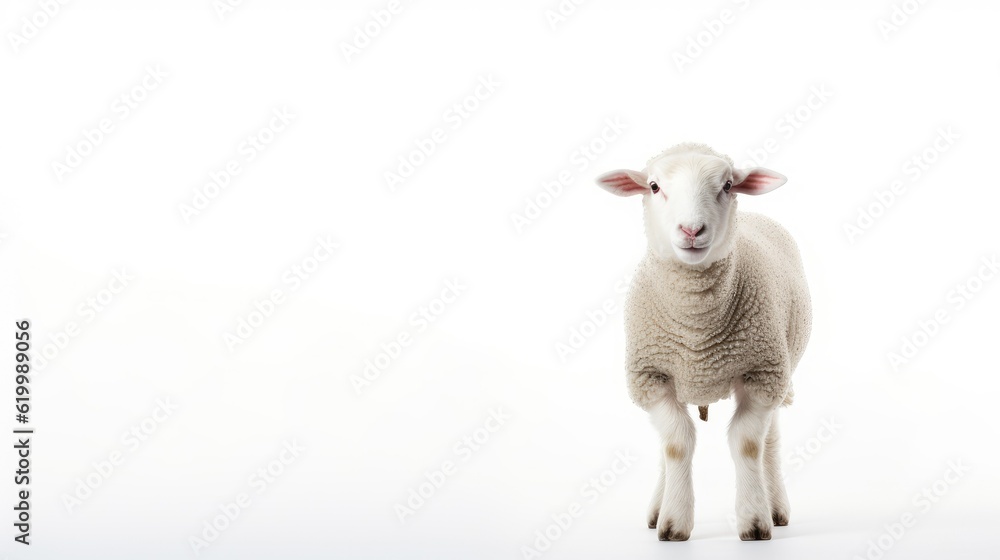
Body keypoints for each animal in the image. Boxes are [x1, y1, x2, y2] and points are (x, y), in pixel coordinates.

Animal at [594, 143, 811, 542]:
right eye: (653, 186)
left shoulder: (762, 373)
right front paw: (673, 521)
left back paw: (776, 507)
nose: (692, 229)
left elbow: (748, 443)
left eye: (727, 185)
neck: (698, 331)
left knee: (770, 441)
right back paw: (657, 507)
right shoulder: (651, 377)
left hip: (782, 366)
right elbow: (676, 444)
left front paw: (754, 520)